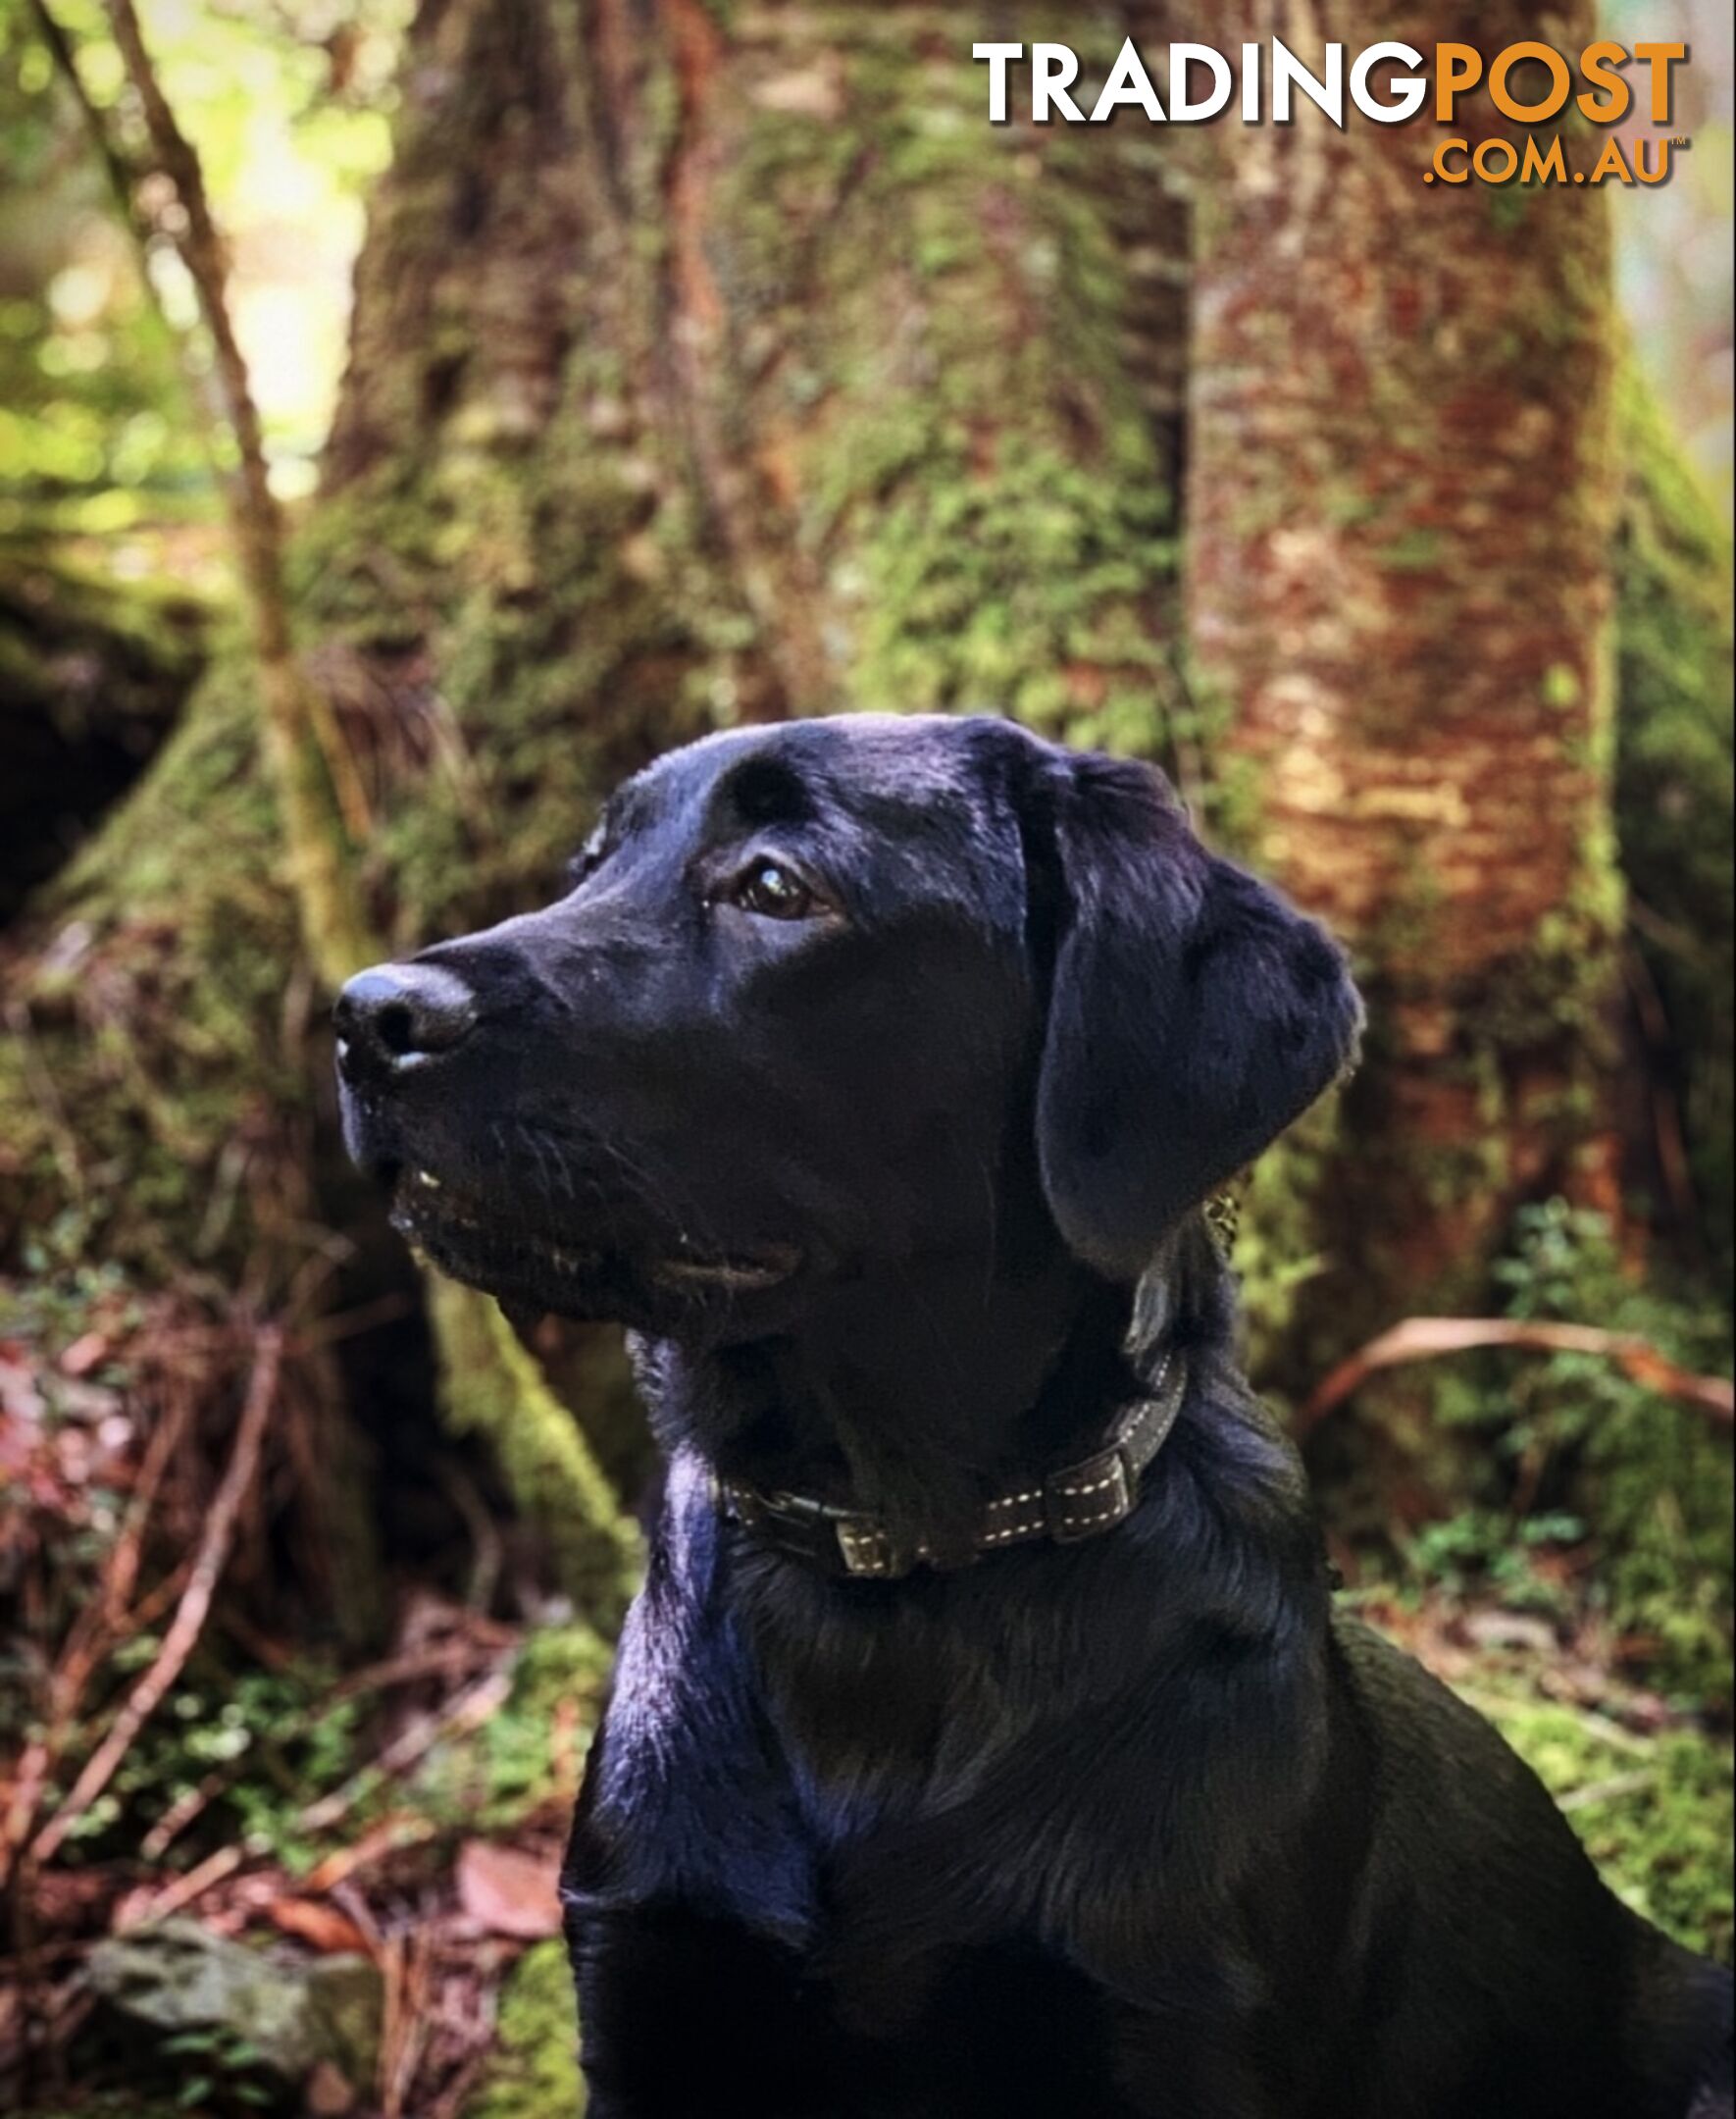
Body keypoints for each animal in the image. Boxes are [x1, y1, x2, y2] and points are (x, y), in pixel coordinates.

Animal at [332, 716, 1729, 2119]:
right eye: (588, 866)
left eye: (776, 885)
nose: (365, 1017)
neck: (892, 1575)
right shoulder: (650, 1983)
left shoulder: (1170, 2032)